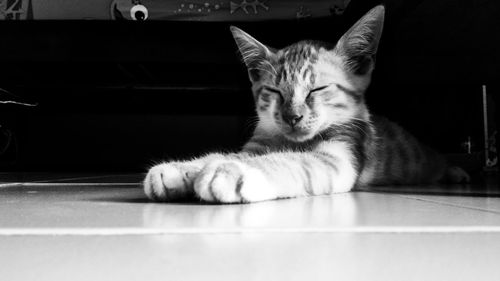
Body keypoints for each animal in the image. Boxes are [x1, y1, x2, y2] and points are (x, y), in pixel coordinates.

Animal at [144, 5, 468, 202]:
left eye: (317, 88)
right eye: (274, 91)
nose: (293, 117)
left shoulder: (341, 155)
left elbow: (294, 161)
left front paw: (232, 172)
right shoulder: (257, 144)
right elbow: (225, 154)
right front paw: (182, 169)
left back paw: (456, 172)